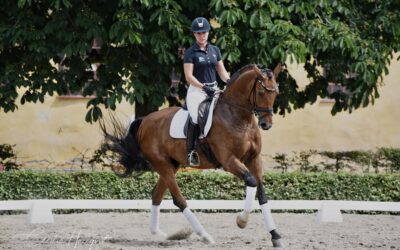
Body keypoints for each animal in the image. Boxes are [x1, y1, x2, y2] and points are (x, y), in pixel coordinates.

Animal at [101, 63, 282, 247]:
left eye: (275, 92)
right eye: (261, 92)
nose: (266, 124)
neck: (238, 117)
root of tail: (145, 120)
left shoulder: (254, 159)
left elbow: (261, 193)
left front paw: (275, 235)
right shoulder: (229, 161)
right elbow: (251, 181)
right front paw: (241, 221)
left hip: (172, 164)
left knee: (157, 194)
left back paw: (162, 234)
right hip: (162, 164)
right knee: (178, 200)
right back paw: (204, 235)